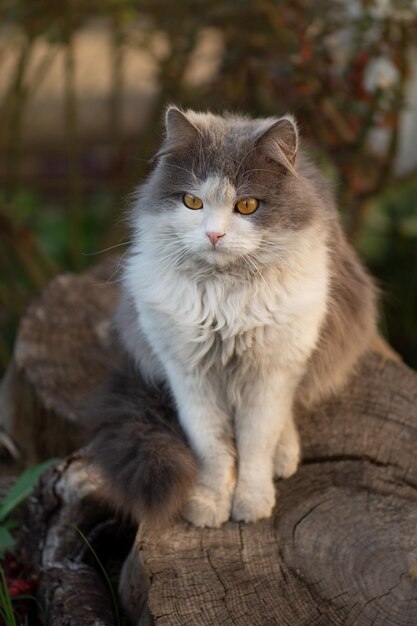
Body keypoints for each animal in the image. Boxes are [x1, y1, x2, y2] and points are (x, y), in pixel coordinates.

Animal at [89, 107, 376, 528]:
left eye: (247, 206)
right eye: (192, 201)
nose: (214, 235)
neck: (224, 299)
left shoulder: (269, 373)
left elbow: (256, 443)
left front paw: (251, 503)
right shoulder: (190, 374)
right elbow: (212, 446)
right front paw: (209, 502)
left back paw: (284, 455)